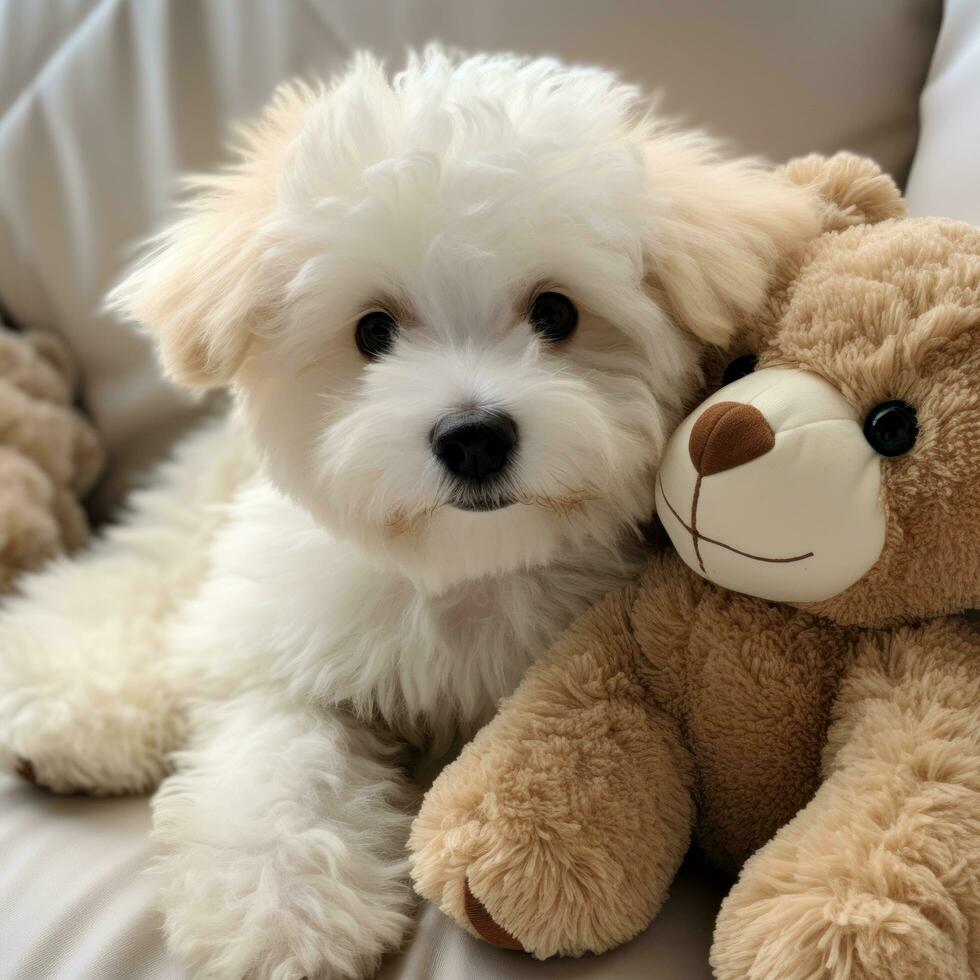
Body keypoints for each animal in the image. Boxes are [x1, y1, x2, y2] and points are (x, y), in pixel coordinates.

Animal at [0, 51, 812, 980]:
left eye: (556, 312)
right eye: (373, 331)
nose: (473, 437)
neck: (462, 563)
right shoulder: (285, 643)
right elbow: (280, 758)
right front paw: (282, 914)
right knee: (139, 575)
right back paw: (68, 704)